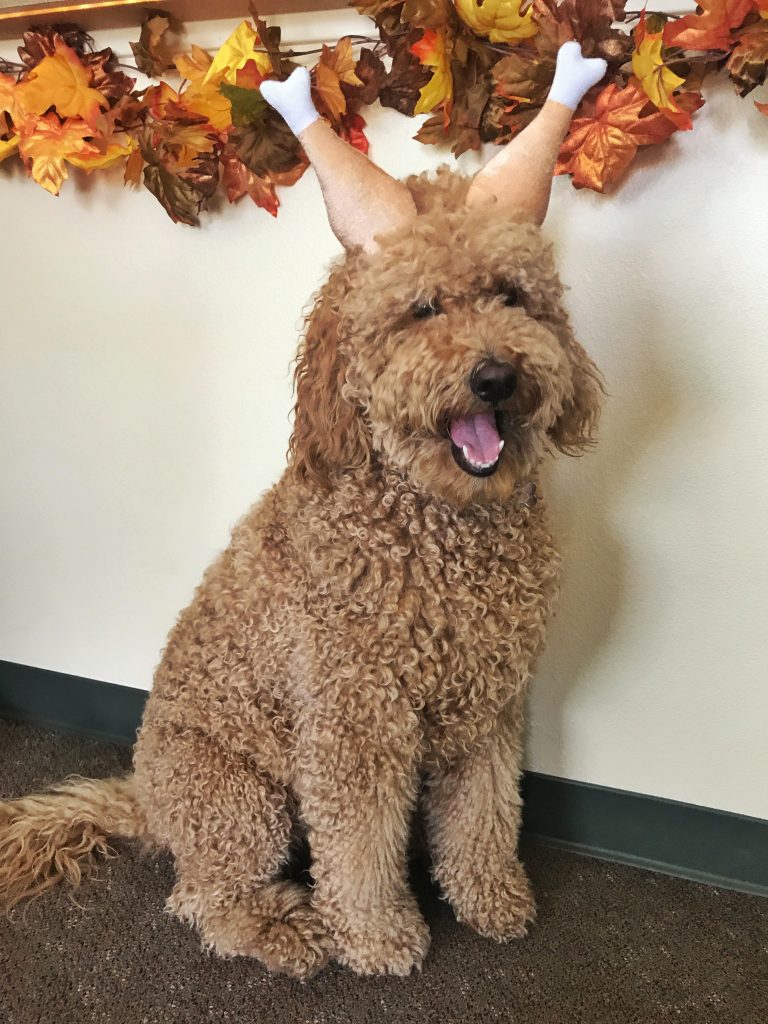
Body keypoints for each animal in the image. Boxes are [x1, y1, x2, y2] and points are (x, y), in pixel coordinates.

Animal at [0, 41, 606, 983]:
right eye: (423, 308)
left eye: (511, 295)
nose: (496, 376)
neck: (437, 525)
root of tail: (145, 799)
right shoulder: (353, 721)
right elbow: (357, 846)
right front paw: (378, 935)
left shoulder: (489, 705)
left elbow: (483, 811)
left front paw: (489, 896)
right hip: (240, 799)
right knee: (202, 900)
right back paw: (290, 928)